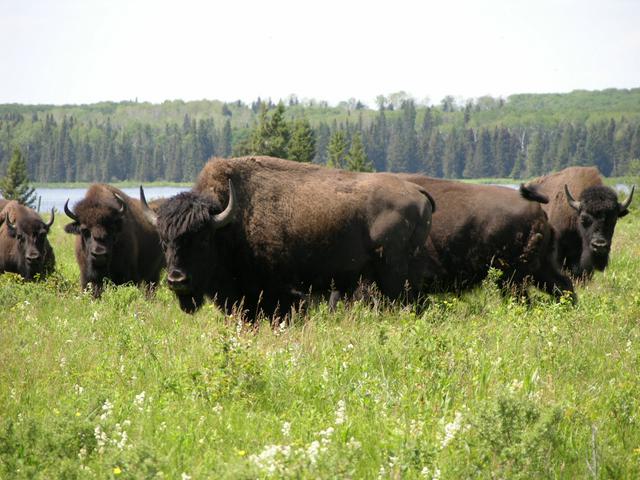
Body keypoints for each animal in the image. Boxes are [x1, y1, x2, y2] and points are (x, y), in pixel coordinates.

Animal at [142, 156, 436, 316]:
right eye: (164, 242)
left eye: (202, 240)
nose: (177, 280)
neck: (229, 222)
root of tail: (417, 191)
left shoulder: (279, 295)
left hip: (395, 277)